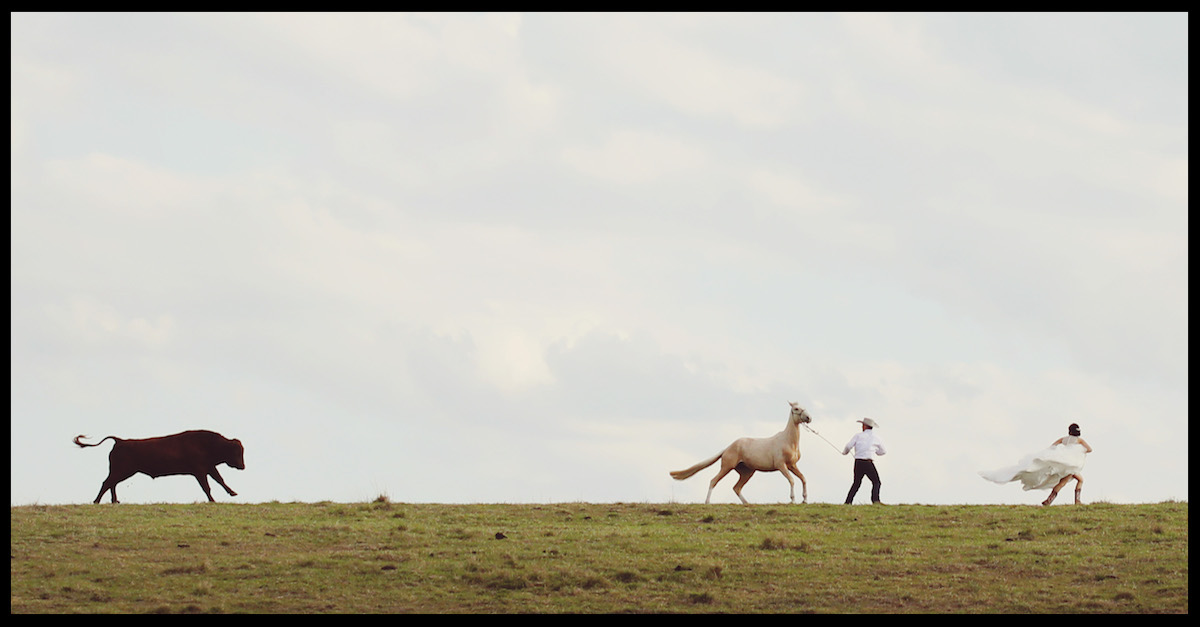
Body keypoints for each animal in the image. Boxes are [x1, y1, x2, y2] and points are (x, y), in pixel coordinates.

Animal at [72, 427, 246, 499]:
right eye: (237, 451)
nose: (243, 466)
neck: (207, 444)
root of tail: (120, 441)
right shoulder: (200, 471)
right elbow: (207, 487)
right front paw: (212, 500)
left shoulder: (209, 468)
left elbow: (220, 480)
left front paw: (233, 493)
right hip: (123, 471)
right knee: (107, 483)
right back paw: (97, 502)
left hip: (122, 471)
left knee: (111, 484)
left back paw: (114, 501)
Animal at [672, 401, 811, 502]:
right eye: (796, 409)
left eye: (804, 407)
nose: (809, 418)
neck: (788, 441)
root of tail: (727, 448)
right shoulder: (781, 465)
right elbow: (792, 480)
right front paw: (793, 500)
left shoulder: (792, 465)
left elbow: (803, 478)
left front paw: (804, 500)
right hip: (727, 467)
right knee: (713, 481)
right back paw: (707, 502)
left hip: (747, 472)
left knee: (736, 488)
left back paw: (747, 504)